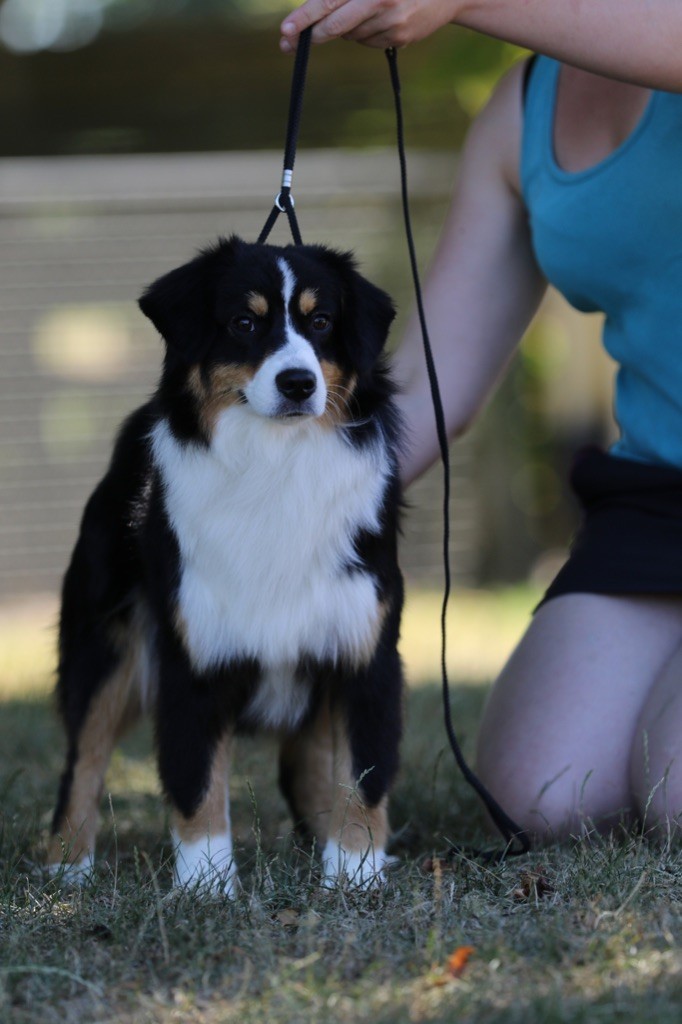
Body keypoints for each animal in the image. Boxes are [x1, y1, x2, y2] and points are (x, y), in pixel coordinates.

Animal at [49, 235, 403, 892]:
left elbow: (363, 777)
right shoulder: (194, 651)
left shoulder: (363, 649)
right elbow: (196, 780)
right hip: (106, 641)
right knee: (82, 758)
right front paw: (206, 885)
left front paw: (355, 874)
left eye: (321, 321)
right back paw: (66, 866)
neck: (276, 464)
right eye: (244, 322)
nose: (298, 383)